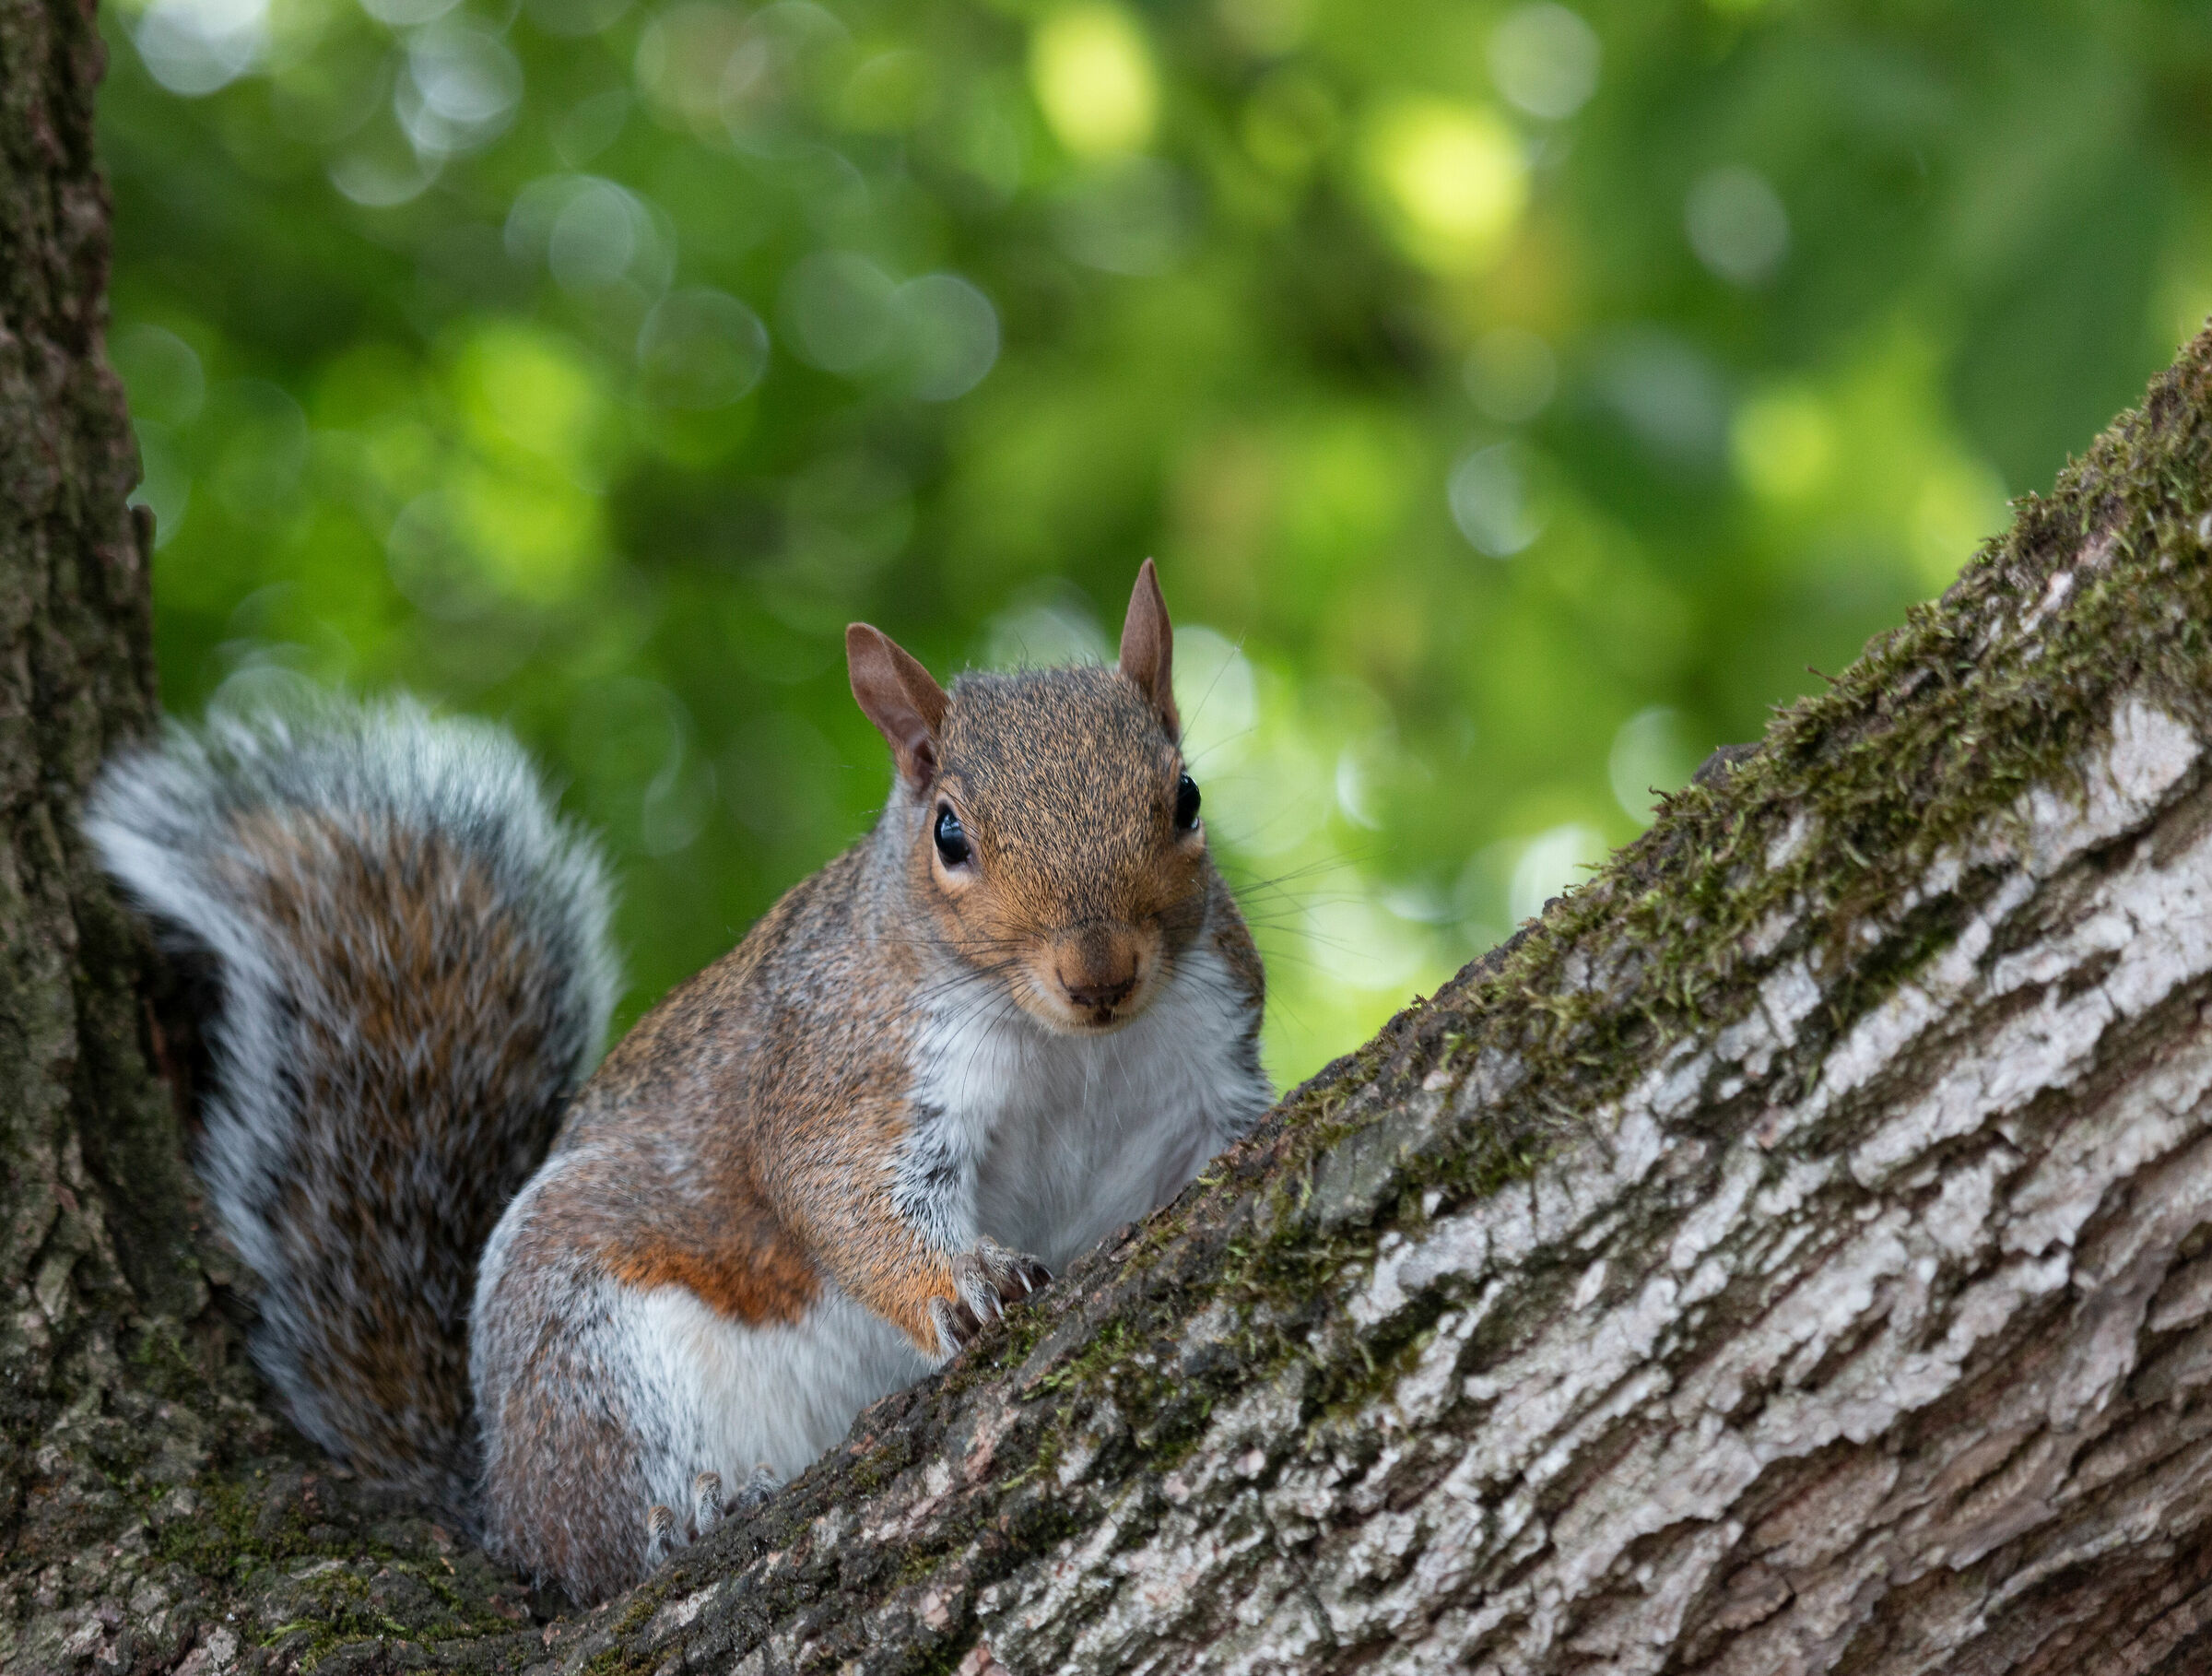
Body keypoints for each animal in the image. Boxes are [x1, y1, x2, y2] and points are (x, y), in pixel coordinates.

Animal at [88, 561, 1273, 1605]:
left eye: (1185, 798)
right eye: (951, 834)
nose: (1100, 974)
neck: (1071, 1049)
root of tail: (497, 1499)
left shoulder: (1209, 1059)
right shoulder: (849, 1067)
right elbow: (842, 1195)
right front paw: (963, 1284)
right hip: (591, 1353)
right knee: (600, 1543)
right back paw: (689, 1515)